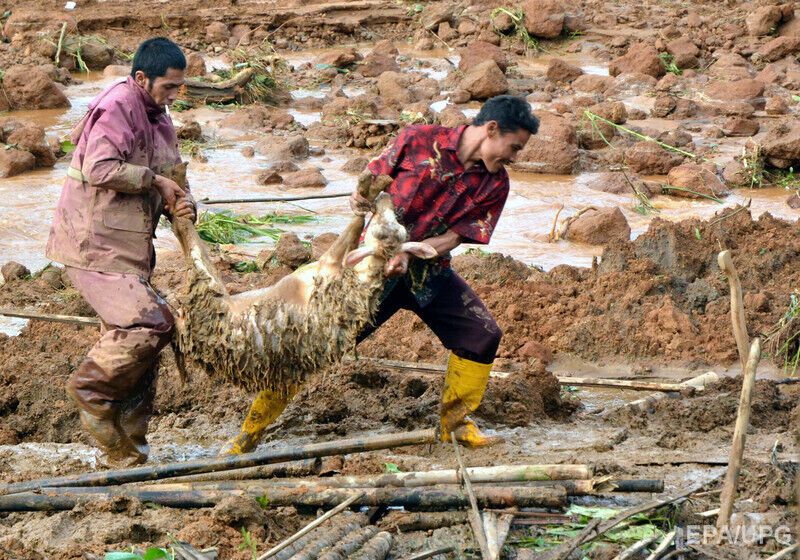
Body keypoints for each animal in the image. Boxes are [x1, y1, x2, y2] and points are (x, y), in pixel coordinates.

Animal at [168, 169, 436, 397]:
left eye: (383, 232)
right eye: (397, 230)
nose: (387, 199)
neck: (359, 282)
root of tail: (182, 336)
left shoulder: (323, 268)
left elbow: (350, 231)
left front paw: (367, 190)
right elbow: (351, 236)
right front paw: (369, 192)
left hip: (206, 295)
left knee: (189, 242)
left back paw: (176, 196)